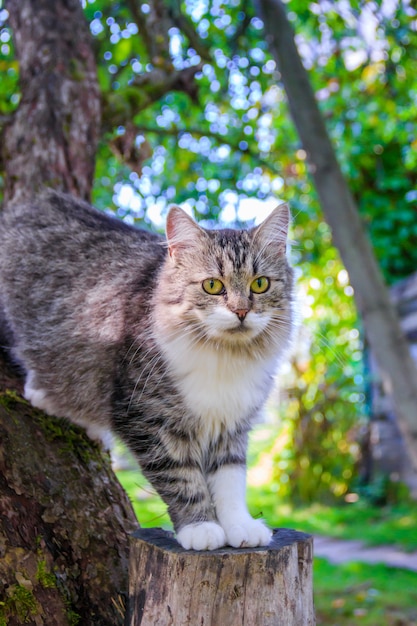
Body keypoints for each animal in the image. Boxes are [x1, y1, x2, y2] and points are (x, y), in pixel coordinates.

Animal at [0, 189, 292, 544]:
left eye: (260, 284)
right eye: (212, 286)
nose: (241, 311)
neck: (224, 357)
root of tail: (30, 202)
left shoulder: (232, 425)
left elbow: (230, 482)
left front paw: (240, 526)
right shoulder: (148, 418)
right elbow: (182, 479)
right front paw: (201, 528)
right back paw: (42, 393)